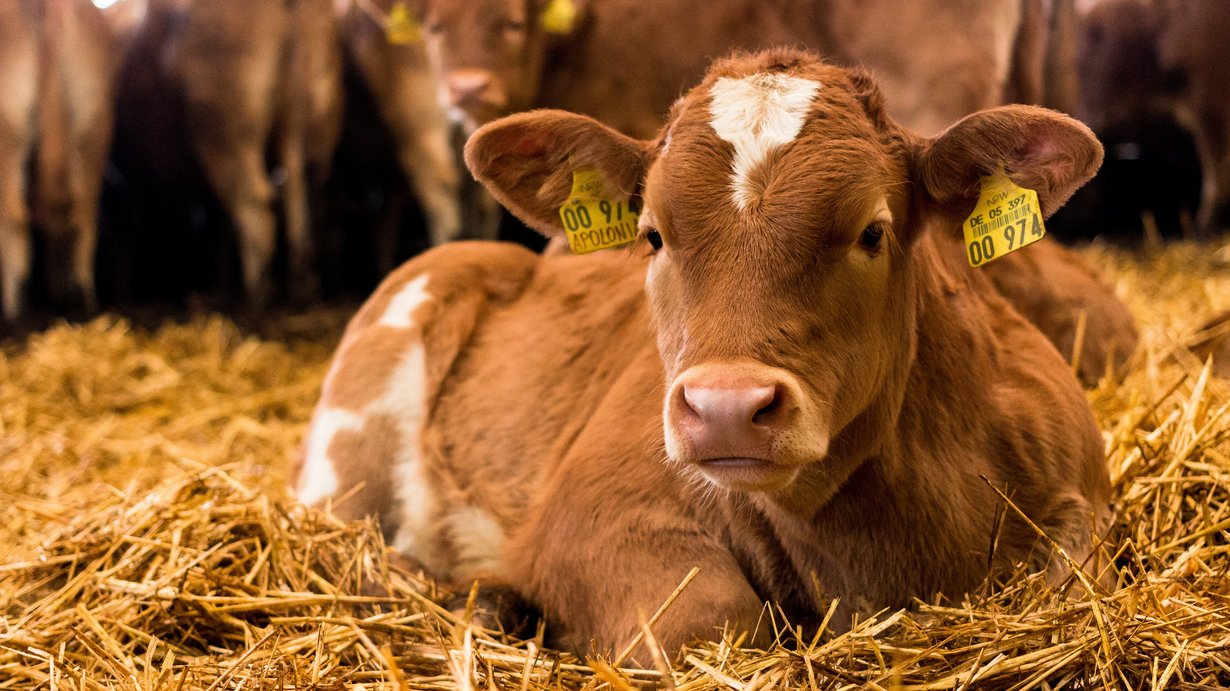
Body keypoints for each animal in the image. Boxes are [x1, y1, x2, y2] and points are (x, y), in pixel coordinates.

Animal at [0, 0, 121, 323]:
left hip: (8, 132)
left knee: (13, 220)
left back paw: (13, 310)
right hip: (94, 125)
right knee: (84, 216)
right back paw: (80, 302)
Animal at [294, 50, 1112, 657]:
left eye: (872, 231)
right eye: (653, 233)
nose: (725, 408)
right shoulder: (588, 512)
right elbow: (710, 621)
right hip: (346, 456)